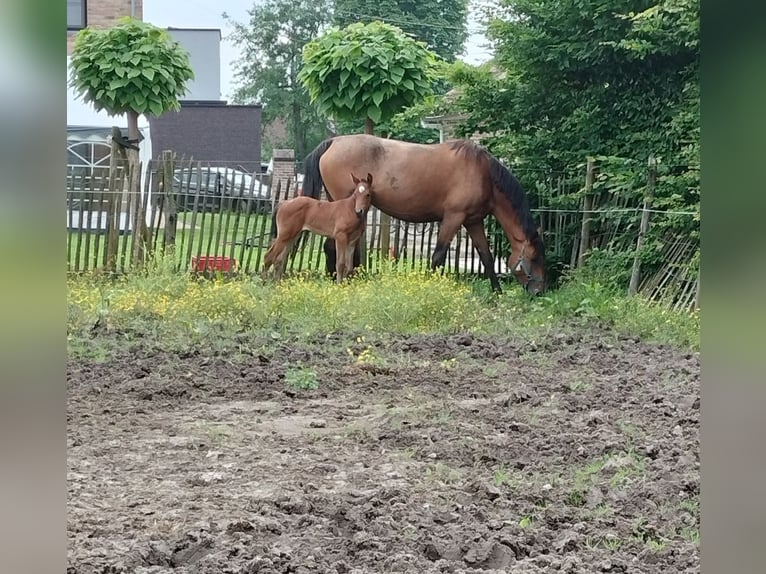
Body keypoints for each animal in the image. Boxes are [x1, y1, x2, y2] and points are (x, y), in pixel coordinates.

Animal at [300, 135, 544, 294]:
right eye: (534, 257)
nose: (540, 291)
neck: (482, 172)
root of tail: (333, 142)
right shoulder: (453, 218)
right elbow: (438, 255)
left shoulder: (473, 222)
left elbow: (487, 257)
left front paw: (497, 292)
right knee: (332, 247)